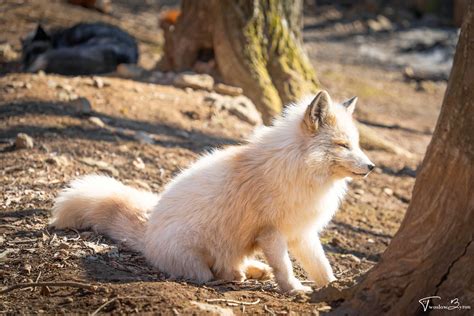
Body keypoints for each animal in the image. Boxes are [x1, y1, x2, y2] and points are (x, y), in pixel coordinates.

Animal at [51, 90, 374, 292]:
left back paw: (253, 269)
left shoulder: (301, 232)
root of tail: (149, 231)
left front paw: (334, 288)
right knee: (215, 273)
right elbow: (285, 268)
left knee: (234, 265)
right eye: (343, 145)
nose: (371, 166)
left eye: (357, 144)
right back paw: (236, 275)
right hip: (201, 254)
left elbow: (321, 266)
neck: (301, 172)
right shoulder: (271, 233)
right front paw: (295, 290)